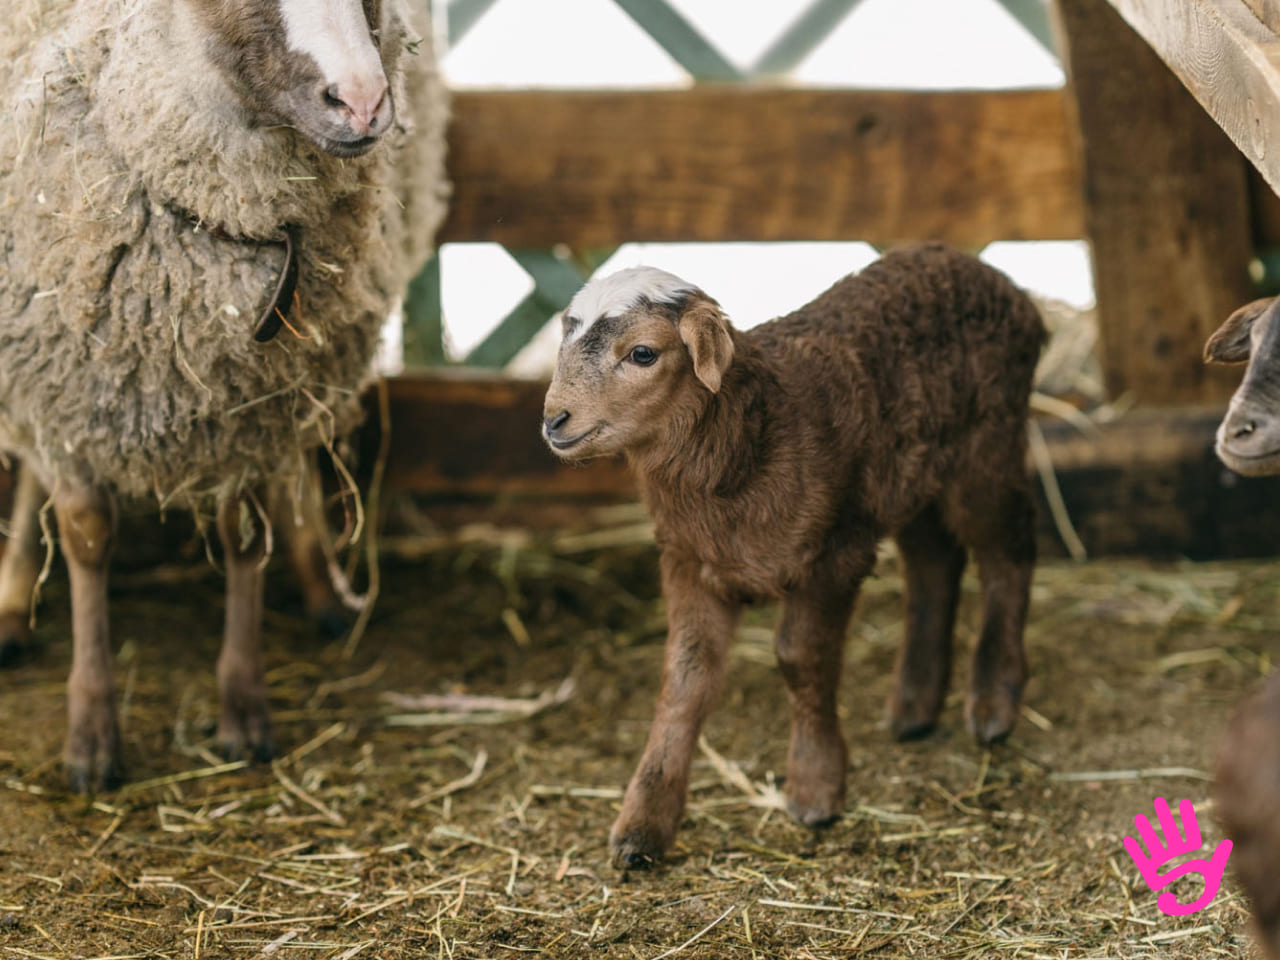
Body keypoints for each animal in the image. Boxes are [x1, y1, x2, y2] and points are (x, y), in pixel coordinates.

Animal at [545, 241, 1044, 870]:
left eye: (642, 353)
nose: (553, 420)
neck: (752, 434)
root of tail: (993, 277)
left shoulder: (835, 551)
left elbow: (800, 659)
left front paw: (814, 789)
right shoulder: (688, 561)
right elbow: (685, 678)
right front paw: (641, 828)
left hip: (987, 447)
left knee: (1009, 549)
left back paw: (994, 702)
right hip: (910, 476)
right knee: (935, 562)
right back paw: (914, 707)